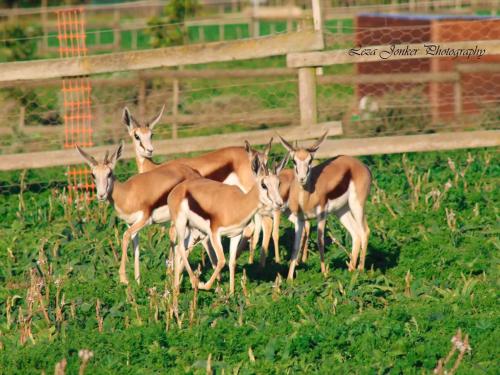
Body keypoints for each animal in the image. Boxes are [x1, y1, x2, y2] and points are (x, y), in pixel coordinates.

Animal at [75, 141, 200, 284]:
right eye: (93, 175)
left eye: (109, 173)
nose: (101, 195)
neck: (127, 194)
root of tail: (194, 173)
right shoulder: (132, 224)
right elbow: (136, 249)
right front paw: (138, 282)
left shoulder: (144, 220)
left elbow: (125, 236)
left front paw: (123, 278)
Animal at [168, 149, 288, 294]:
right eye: (264, 185)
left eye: (278, 183)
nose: (279, 203)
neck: (237, 204)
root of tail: (177, 189)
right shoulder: (215, 234)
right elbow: (221, 261)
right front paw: (204, 285)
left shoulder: (235, 235)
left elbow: (232, 261)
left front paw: (231, 292)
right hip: (182, 224)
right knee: (180, 247)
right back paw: (194, 282)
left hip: (195, 231)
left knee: (180, 249)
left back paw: (176, 288)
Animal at [278, 132, 372, 280]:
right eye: (294, 161)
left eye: (310, 160)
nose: (302, 179)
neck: (308, 196)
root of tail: (361, 165)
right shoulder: (300, 220)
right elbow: (295, 247)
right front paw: (289, 279)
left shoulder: (321, 214)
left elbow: (320, 241)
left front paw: (324, 273)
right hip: (341, 211)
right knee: (355, 234)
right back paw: (351, 270)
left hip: (357, 205)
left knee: (365, 231)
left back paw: (360, 270)